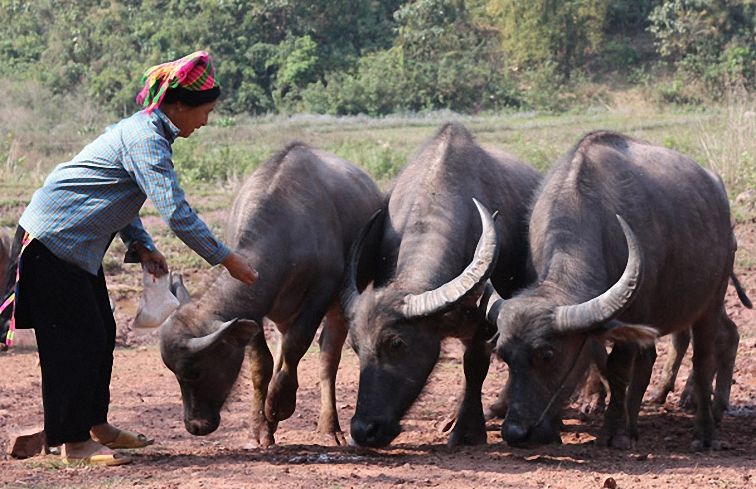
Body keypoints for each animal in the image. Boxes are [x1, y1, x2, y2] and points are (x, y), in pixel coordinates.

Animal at [160, 142, 384, 446]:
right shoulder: (256, 308)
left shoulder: (321, 291)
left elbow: (298, 344)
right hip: (283, 311)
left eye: (194, 372)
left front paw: (279, 404)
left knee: (327, 356)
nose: (195, 426)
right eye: (174, 374)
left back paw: (330, 427)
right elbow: (261, 364)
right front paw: (260, 427)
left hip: (340, 303)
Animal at [346, 121, 540, 446]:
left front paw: (467, 431)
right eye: (355, 346)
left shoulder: (485, 320)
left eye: (397, 343)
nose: (363, 430)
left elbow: (475, 364)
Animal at [478, 130, 744, 450]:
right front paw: (620, 422)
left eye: (547, 354)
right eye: (503, 355)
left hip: (711, 299)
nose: (515, 433)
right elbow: (601, 361)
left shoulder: (632, 316)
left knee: (704, 357)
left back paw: (705, 429)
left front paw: (615, 431)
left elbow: (618, 369)